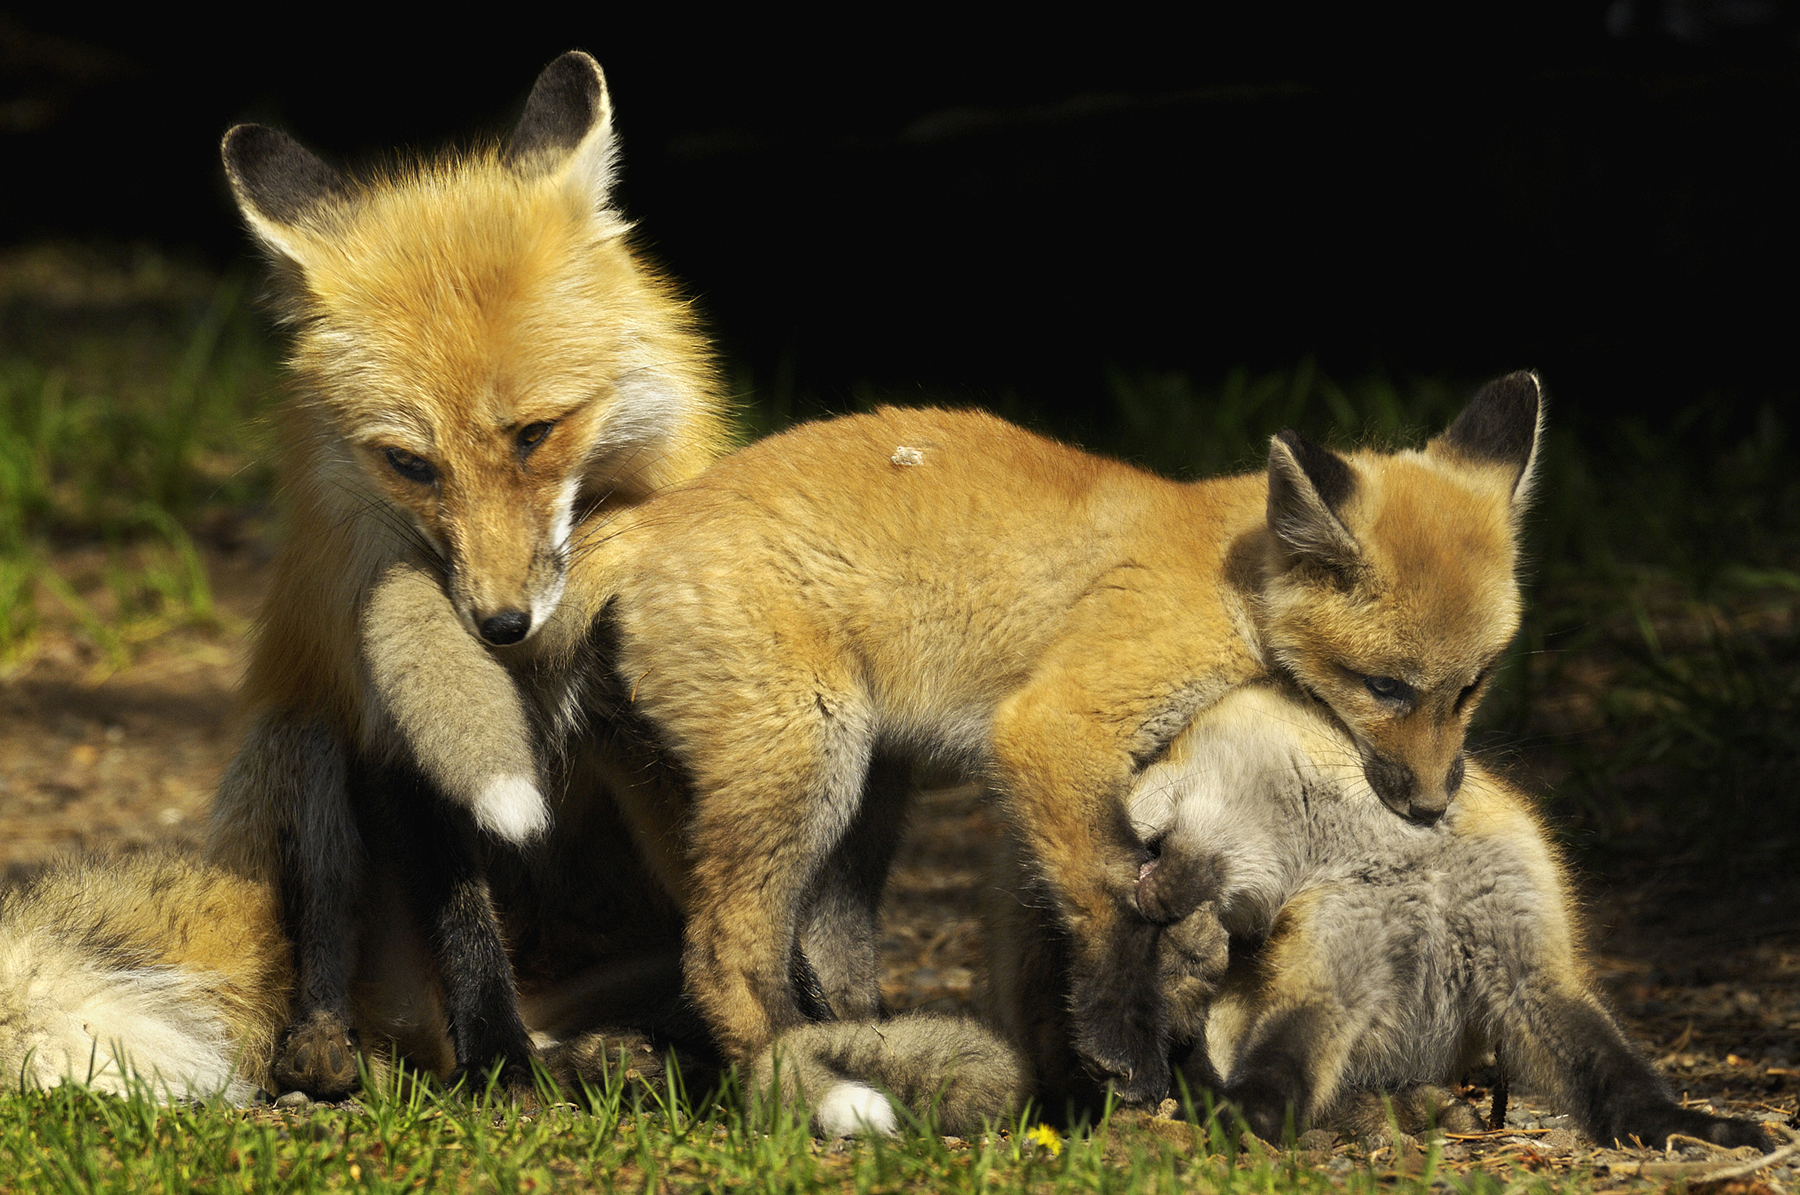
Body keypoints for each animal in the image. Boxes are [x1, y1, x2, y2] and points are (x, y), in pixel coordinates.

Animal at [205, 50, 731, 1097]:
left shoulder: (648, 724)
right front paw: (498, 1064)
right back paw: (332, 1045)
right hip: (310, 733)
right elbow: (462, 922)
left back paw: (645, 1044)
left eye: (536, 433)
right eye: (411, 464)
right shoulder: (399, 735)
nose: (499, 625)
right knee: (328, 933)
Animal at [360, 370, 1550, 1108]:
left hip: (840, 798)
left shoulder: (1046, 794)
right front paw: (1127, 1060)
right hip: (814, 761)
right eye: (1386, 686)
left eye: (1474, 684)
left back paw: (862, 1045)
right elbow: (1116, 914)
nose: (1433, 803)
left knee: (812, 954)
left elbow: (1050, 947)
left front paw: (1076, 1080)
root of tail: (651, 516)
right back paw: (798, 1082)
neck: (1233, 581)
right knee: (721, 948)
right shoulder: (1053, 733)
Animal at [989, 680, 1775, 1150]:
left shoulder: (1529, 967)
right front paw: (1248, 1118)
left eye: (1156, 754)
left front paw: (1686, 1127)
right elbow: (1283, 1063)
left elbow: (1619, 1073)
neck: (1405, 857)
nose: (1048, 865)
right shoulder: (1335, 971)